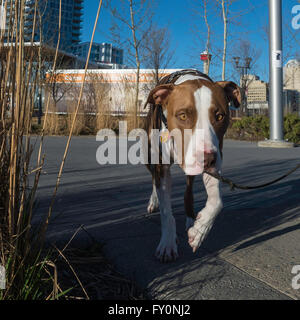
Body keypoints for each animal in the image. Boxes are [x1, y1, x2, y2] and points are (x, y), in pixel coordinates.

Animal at [144, 69, 241, 262]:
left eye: (219, 116)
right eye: (182, 115)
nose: (207, 158)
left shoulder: (215, 161)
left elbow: (217, 202)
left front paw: (199, 230)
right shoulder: (161, 167)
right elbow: (166, 212)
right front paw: (167, 243)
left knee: (188, 191)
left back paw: (191, 219)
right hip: (149, 156)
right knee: (153, 179)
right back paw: (153, 201)